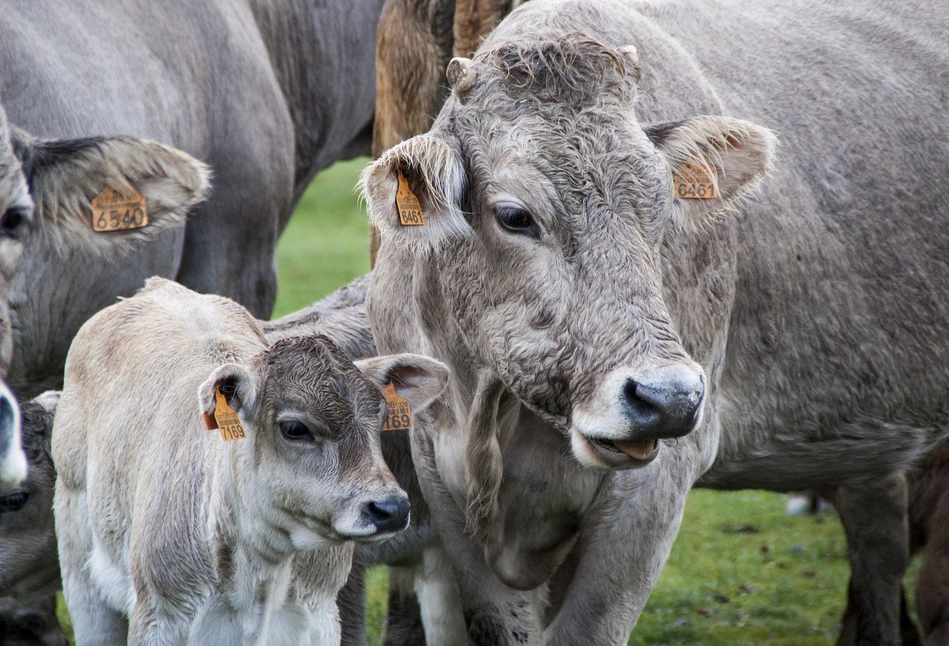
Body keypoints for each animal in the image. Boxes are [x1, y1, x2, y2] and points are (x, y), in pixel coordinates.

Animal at [51, 280, 448, 646]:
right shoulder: (158, 618)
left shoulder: (321, 616)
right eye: (295, 428)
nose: (390, 508)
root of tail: (159, 287)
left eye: (379, 417)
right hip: (80, 570)